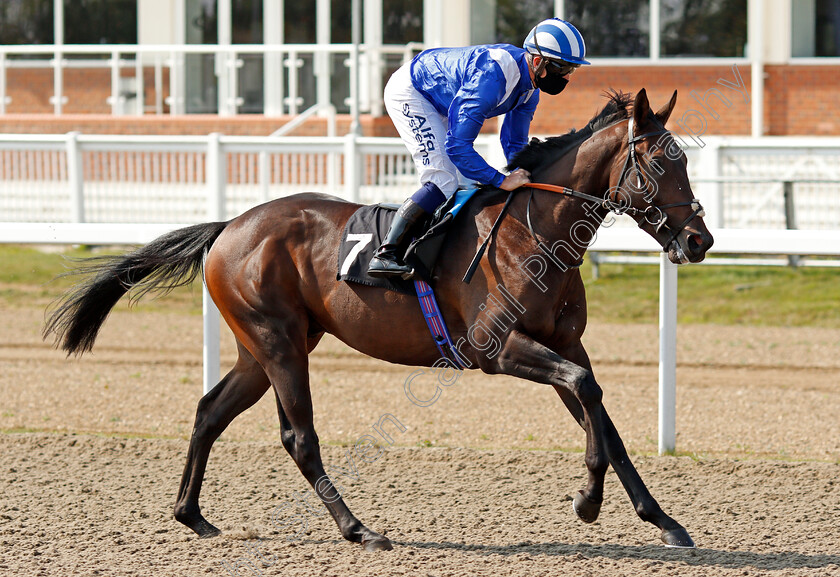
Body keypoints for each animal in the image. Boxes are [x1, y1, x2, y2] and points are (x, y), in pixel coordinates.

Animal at [44, 89, 716, 548]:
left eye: (685, 162)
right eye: (660, 166)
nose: (700, 240)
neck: (535, 232)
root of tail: (230, 226)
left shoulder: (565, 345)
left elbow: (602, 415)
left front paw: (663, 520)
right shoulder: (498, 349)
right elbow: (587, 395)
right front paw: (586, 501)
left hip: (260, 349)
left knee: (210, 411)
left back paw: (192, 515)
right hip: (278, 342)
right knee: (299, 436)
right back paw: (358, 528)